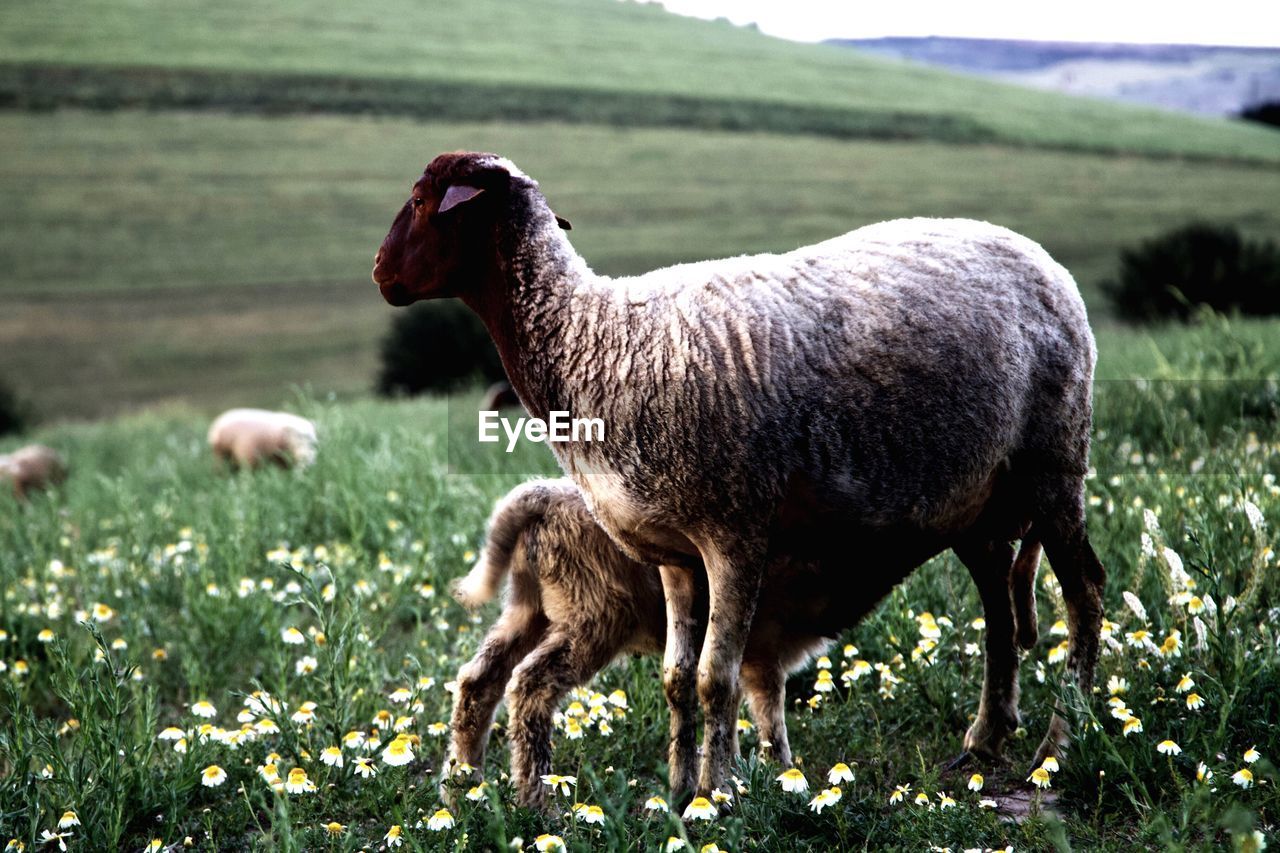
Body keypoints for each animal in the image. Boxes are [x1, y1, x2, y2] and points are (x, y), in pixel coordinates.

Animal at [445, 473, 834, 809]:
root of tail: (541, 496)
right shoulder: (762, 650)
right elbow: (769, 716)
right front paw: (781, 777)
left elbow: (729, 708)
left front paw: (735, 775)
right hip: (595, 617)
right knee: (530, 686)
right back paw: (538, 805)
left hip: (528, 609)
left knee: (478, 680)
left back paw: (462, 790)